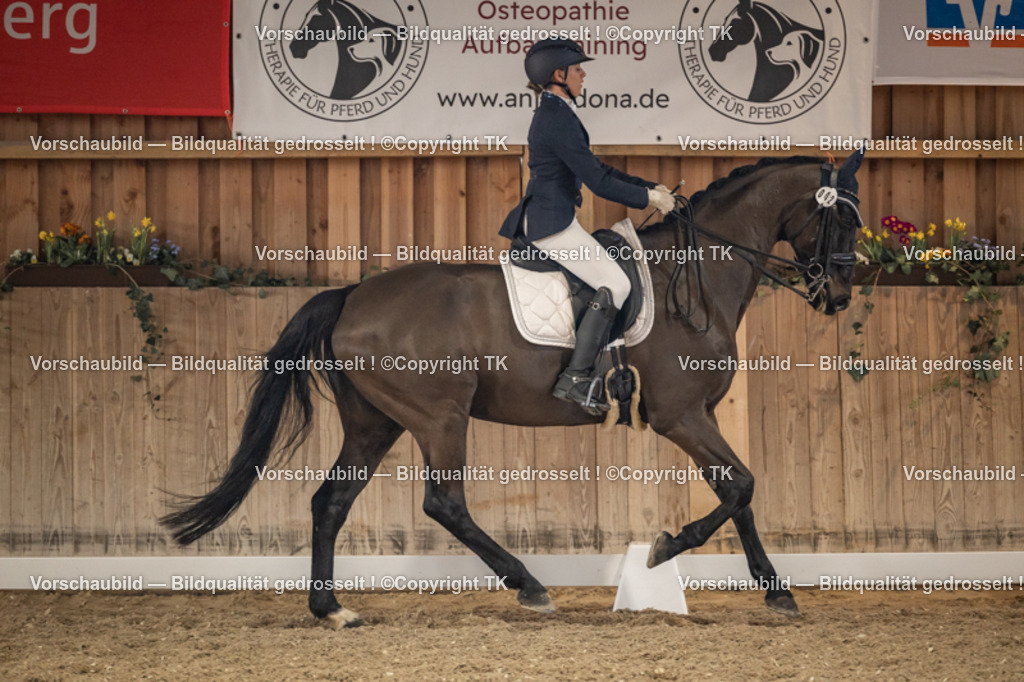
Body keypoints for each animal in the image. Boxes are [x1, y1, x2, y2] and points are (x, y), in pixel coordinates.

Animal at [161, 151, 865, 628]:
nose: (837, 296)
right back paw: (528, 584)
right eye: (843, 224)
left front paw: (776, 590)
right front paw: (664, 550)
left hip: (375, 423)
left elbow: (737, 492)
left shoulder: (701, 417)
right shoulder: (681, 415)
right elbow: (742, 485)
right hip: (439, 417)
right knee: (444, 504)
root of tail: (351, 294)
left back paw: (332, 608)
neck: (692, 277)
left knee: (330, 503)